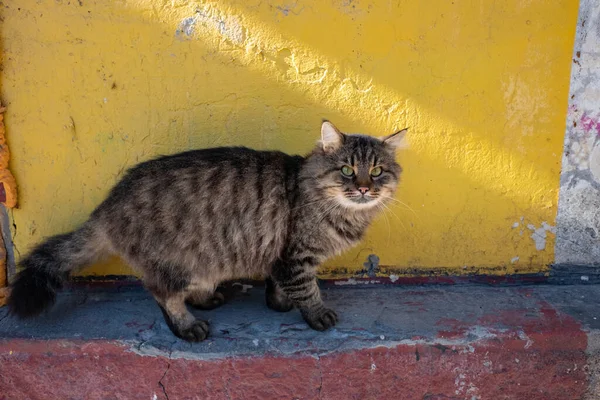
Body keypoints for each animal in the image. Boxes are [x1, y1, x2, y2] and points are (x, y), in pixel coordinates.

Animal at [8, 121, 408, 340]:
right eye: (346, 170)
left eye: (376, 172)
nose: (363, 189)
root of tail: (109, 204)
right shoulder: (296, 256)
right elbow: (307, 290)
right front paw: (316, 313)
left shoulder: (279, 254)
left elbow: (278, 286)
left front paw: (279, 305)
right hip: (172, 263)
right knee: (163, 295)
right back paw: (187, 326)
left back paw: (207, 298)